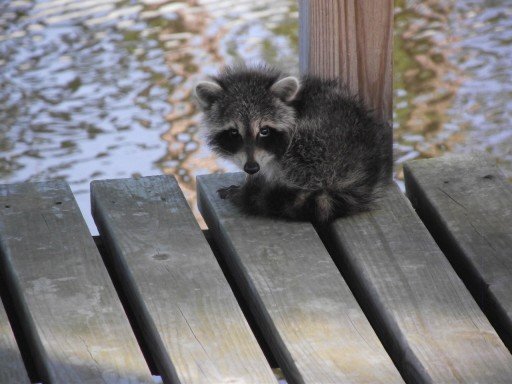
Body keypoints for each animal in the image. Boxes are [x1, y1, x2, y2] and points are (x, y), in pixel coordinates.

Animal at [194, 65, 390, 224]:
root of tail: (365, 177)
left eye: (264, 130)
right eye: (234, 132)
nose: (251, 168)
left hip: (323, 147)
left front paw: (251, 183)